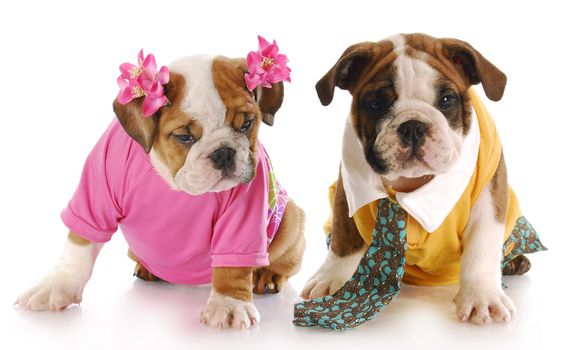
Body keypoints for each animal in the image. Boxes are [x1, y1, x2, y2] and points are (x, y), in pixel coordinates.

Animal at [16, 53, 304, 330]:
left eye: (246, 124)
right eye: (184, 137)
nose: (223, 153)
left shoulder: (246, 211)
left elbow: (234, 267)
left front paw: (229, 304)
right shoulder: (95, 194)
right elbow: (78, 248)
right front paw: (56, 287)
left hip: (292, 219)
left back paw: (267, 276)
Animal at [302, 33, 544, 326]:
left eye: (447, 100)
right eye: (375, 104)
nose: (413, 126)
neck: (411, 183)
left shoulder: (490, 193)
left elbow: (482, 245)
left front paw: (481, 295)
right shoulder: (348, 189)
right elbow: (344, 236)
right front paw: (331, 277)